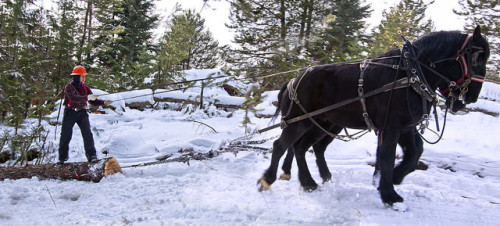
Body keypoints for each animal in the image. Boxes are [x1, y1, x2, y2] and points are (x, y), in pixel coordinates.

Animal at [260, 26, 490, 205]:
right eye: (477, 58)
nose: (472, 97)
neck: (411, 74)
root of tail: (293, 80)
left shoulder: (406, 126)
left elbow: (414, 153)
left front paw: (394, 178)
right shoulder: (391, 125)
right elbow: (387, 156)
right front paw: (389, 194)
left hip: (325, 124)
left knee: (304, 148)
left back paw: (311, 181)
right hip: (300, 122)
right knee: (282, 145)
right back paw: (268, 179)